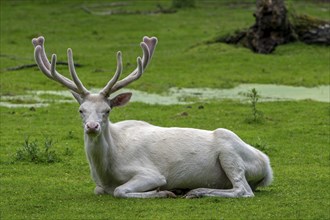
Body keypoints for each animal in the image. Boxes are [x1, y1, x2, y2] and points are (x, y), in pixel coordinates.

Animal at [32, 36, 274, 198]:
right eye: (81, 110)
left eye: (107, 111)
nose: (92, 126)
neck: (106, 170)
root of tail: (267, 165)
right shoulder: (99, 185)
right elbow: (98, 190)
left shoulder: (151, 173)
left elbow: (120, 191)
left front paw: (163, 192)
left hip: (230, 151)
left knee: (244, 190)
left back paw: (195, 191)